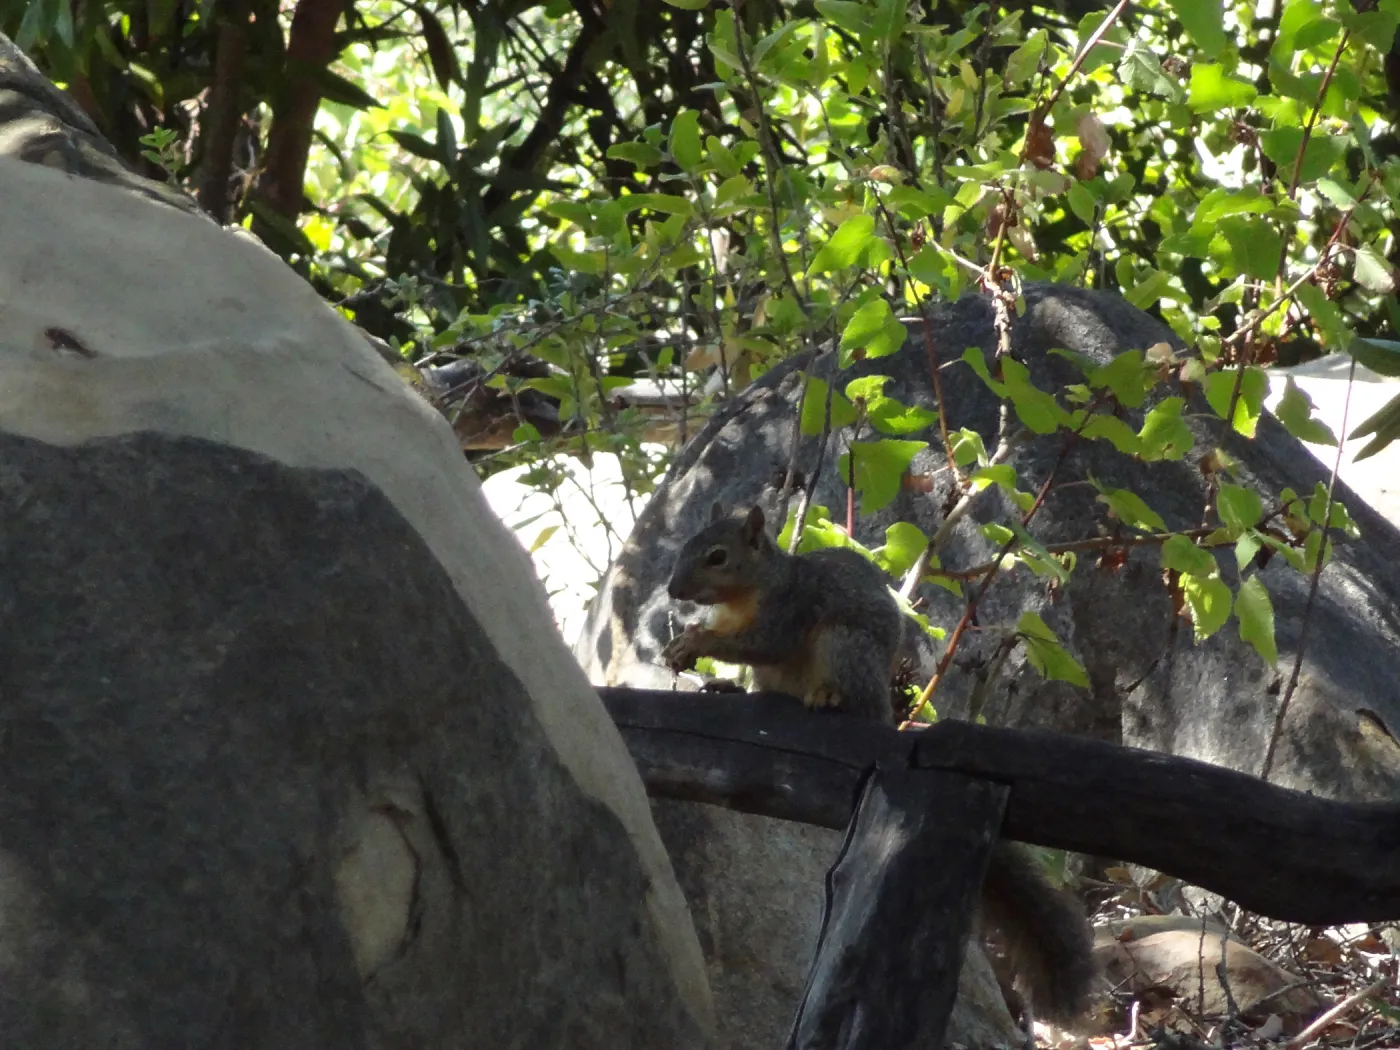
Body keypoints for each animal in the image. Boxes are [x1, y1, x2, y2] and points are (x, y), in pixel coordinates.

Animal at [660, 503, 1098, 1027]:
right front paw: (690, 650)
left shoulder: (789, 612)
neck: (754, 588)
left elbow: (758, 644)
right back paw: (735, 689)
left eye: (717, 557)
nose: (672, 590)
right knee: (763, 687)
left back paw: (828, 698)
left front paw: (693, 642)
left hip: (843, 644)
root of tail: (881, 712)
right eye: (688, 544)